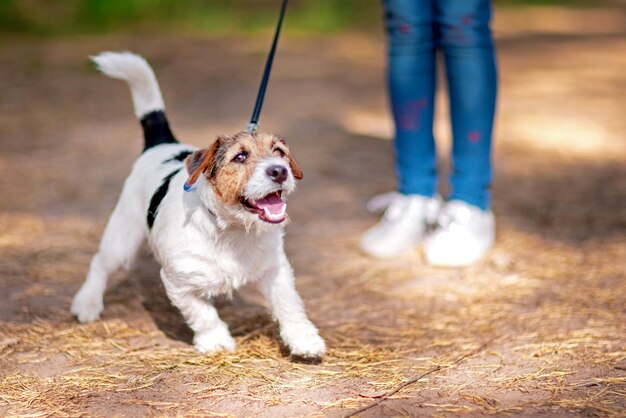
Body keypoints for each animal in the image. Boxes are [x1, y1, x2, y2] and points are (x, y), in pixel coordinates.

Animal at [70, 51, 324, 360]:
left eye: (280, 152)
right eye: (240, 157)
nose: (279, 171)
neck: (231, 229)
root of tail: (163, 144)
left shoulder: (276, 270)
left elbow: (289, 305)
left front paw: (303, 339)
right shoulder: (178, 283)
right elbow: (202, 313)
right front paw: (216, 340)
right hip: (122, 236)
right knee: (100, 264)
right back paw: (87, 303)